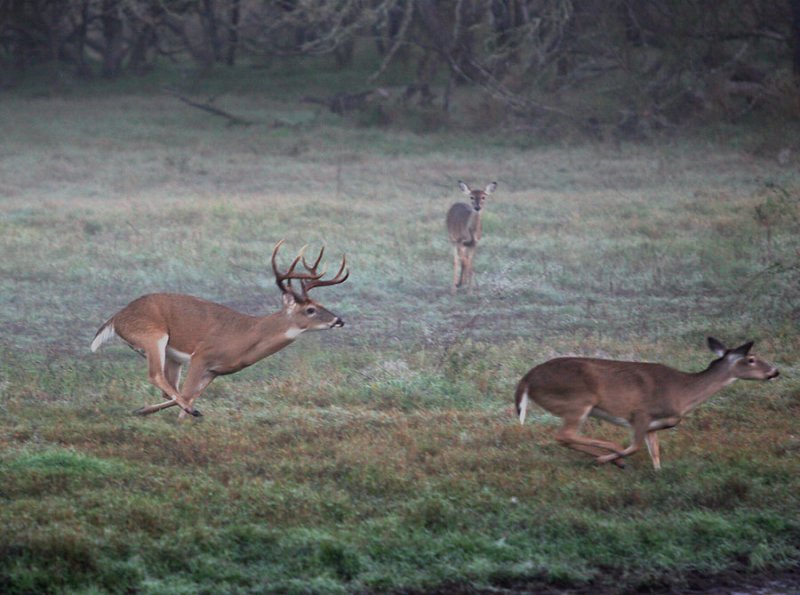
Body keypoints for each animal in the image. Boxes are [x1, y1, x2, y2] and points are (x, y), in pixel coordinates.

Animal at [90, 240, 346, 416]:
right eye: (310, 310)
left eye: (320, 304)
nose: (339, 320)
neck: (246, 336)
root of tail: (116, 318)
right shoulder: (202, 356)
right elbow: (188, 394)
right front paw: (185, 417)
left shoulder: (216, 371)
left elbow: (190, 394)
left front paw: (146, 410)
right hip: (153, 336)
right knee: (156, 375)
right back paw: (189, 411)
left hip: (172, 357)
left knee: (169, 386)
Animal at [516, 340, 780, 470]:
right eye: (751, 359)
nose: (775, 371)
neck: (682, 392)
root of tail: (527, 378)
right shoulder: (640, 414)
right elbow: (634, 447)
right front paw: (608, 459)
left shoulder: (654, 425)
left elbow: (656, 456)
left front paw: (657, 474)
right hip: (577, 401)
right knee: (565, 434)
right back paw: (610, 456)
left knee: (565, 437)